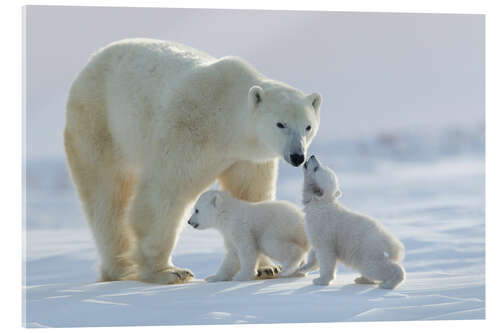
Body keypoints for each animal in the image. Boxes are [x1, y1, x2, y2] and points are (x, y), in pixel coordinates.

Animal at [64, 38, 322, 282]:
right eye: (281, 124)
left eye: (308, 126)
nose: (297, 156)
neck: (226, 120)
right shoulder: (188, 130)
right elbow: (164, 193)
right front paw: (168, 272)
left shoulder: (247, 158)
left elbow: (250, 194)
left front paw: (268, 267)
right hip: (100, 123)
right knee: (107, 197)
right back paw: (122, 269)